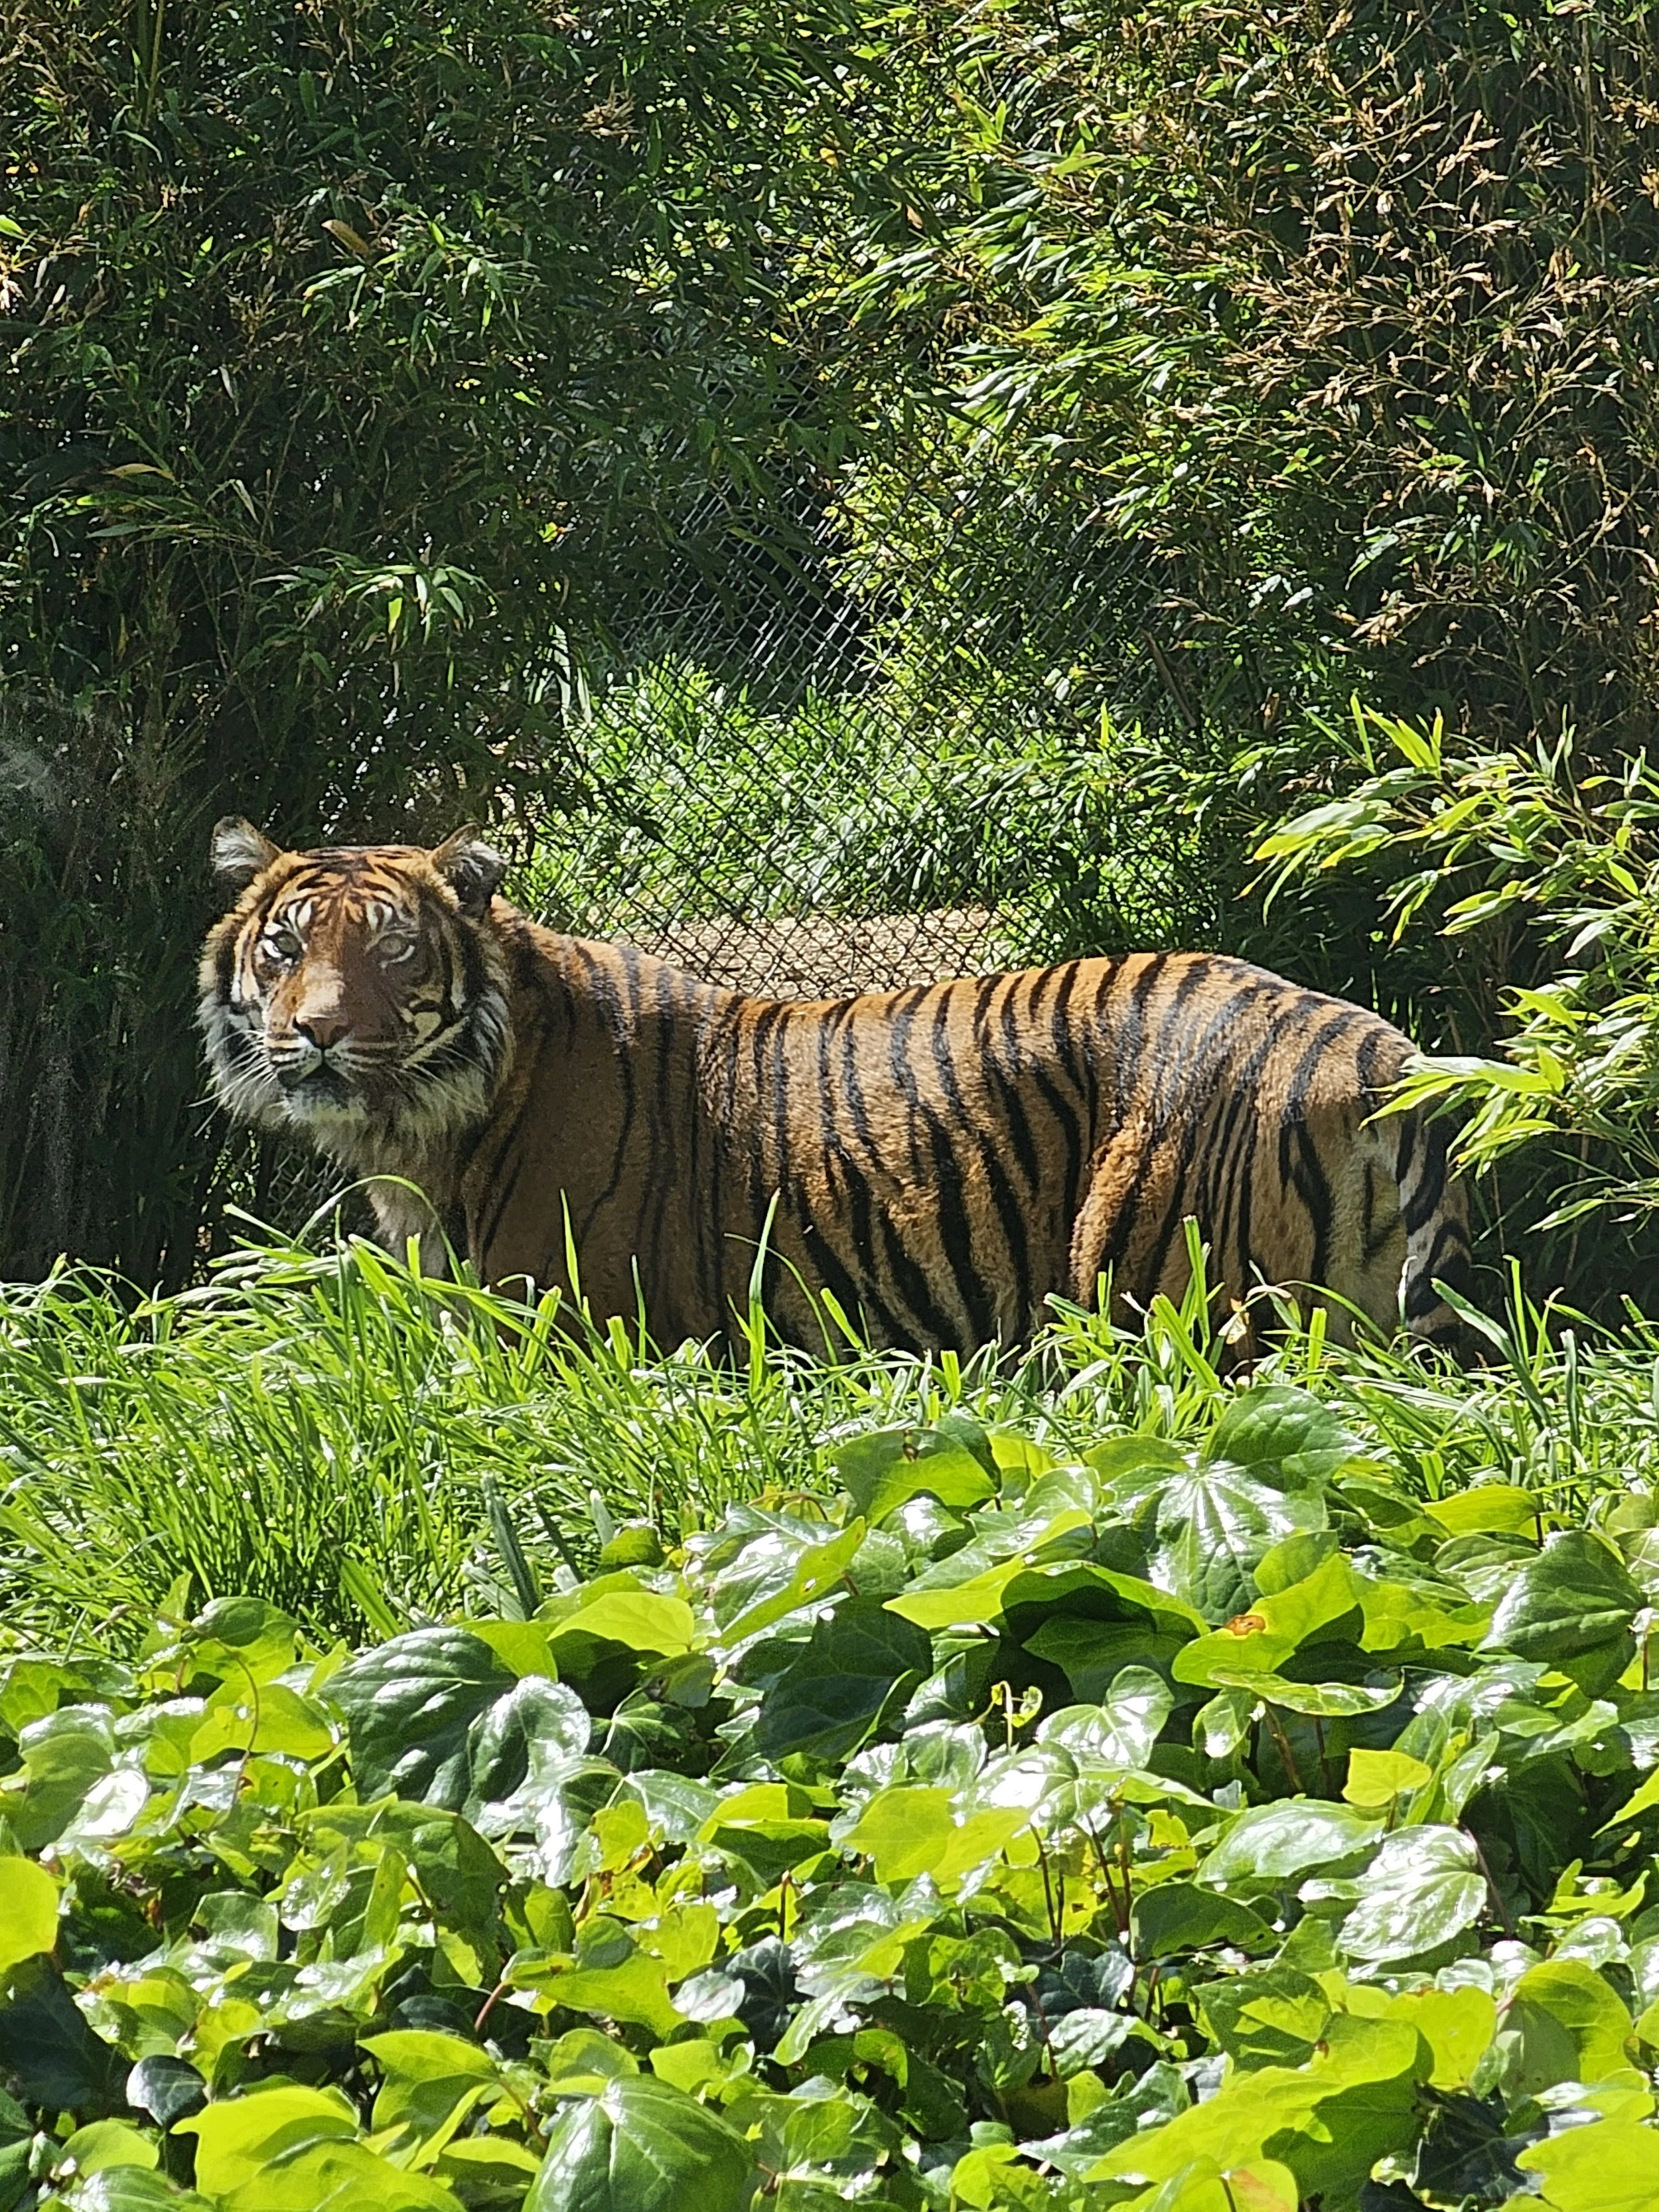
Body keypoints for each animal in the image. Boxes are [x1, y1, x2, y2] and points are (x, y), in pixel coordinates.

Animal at [198, 819, 1475, 1357]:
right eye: (285, 948)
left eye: (395, 952)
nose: (314, 1033)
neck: (423, 1137)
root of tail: (1365, 1041)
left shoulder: (574, 1337)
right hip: (1349, 1312)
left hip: (1174, 1300)